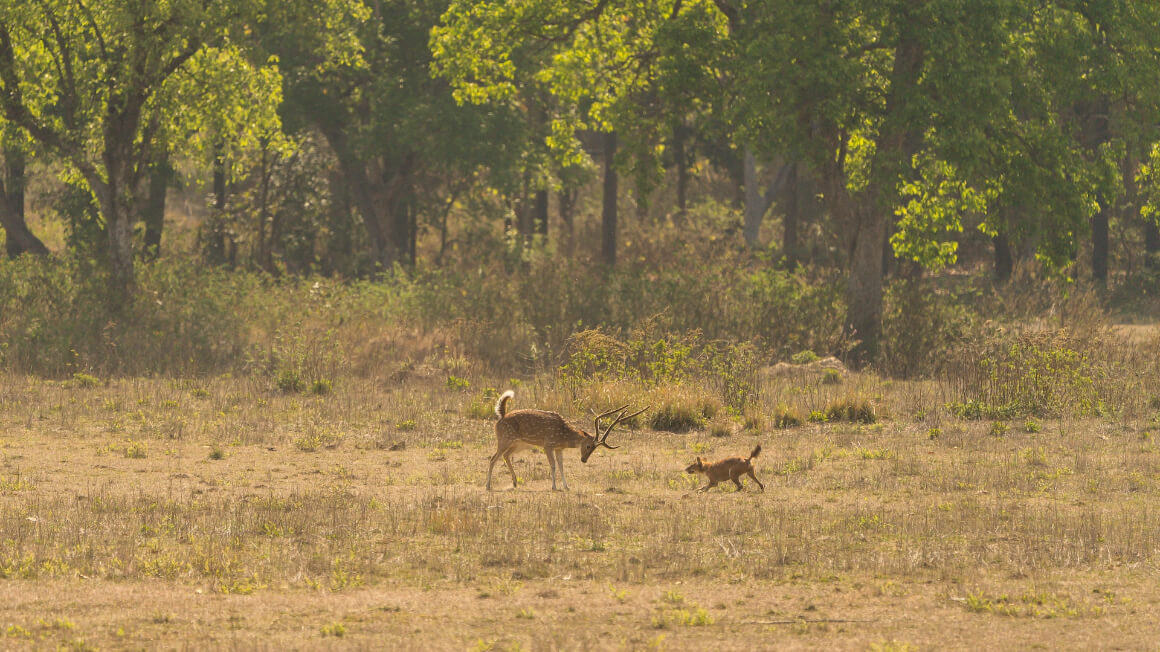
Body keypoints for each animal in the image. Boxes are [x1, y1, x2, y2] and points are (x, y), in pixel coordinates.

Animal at [484, 387, 649, 489]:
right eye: (588, 446)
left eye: (594, 449)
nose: (584, 460)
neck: (563, 436)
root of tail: (501, 416)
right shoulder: (548, 444)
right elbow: (553, 465)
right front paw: (554, 486)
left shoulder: (559, 448)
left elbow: (562, 466)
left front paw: (566, 486)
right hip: (505, 438)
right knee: (493, 458)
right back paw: (488, 485)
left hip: (519, 444)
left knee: (505, 455)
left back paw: (515, 482)